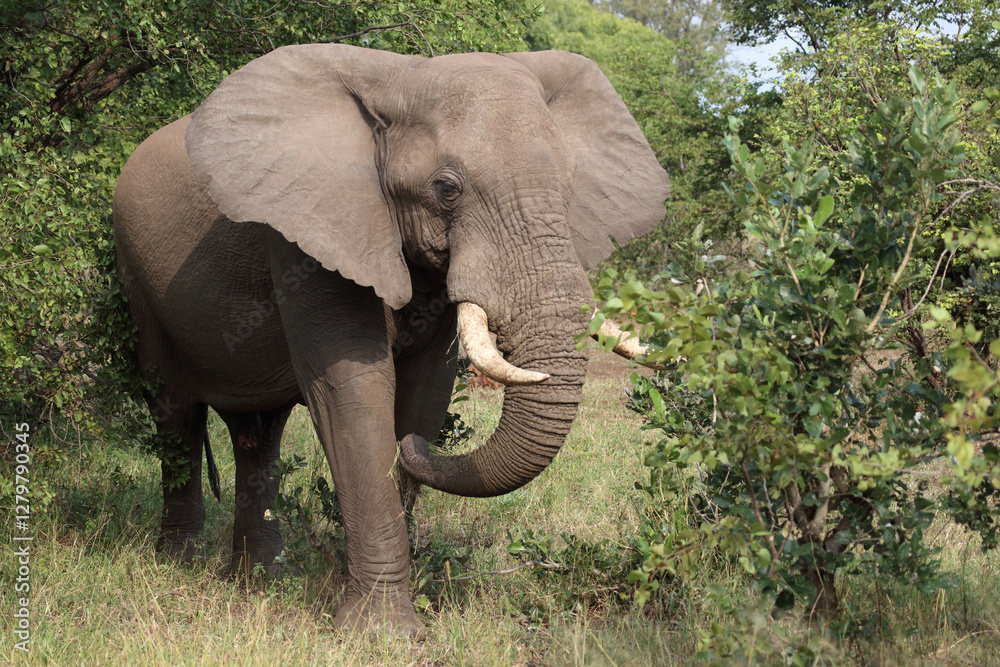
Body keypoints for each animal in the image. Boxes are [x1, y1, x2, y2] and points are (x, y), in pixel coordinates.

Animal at [112, 43, 668, 638]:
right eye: (446, 188)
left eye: (569, 186)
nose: (418, 449)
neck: (403, 77)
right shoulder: (312, 229)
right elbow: (352, 389)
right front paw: (380, 634)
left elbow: (425, 389)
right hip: (136, 276)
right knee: (176, 411)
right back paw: (179, 564)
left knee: (258, 432)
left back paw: (260, 578)